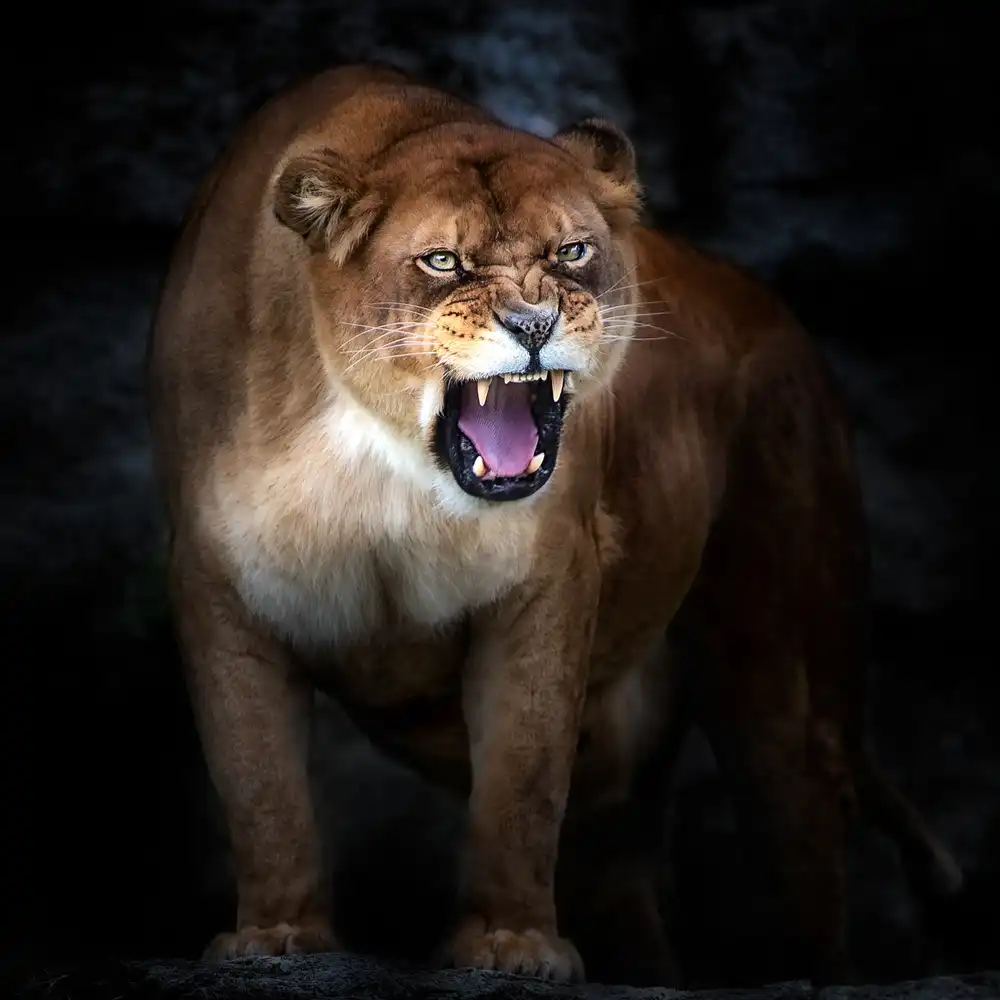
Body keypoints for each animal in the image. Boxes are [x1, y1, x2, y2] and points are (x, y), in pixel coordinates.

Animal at [147, 63, 962, 987]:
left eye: (570, 252)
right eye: (443, 261)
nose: (533, 325)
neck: (380, 462)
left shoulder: (546, 583)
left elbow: (521, 779)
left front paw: (510, 943)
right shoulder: (218, 587)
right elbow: (261, 783)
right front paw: (278, 935)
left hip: (783, 675)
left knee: (806, 829)